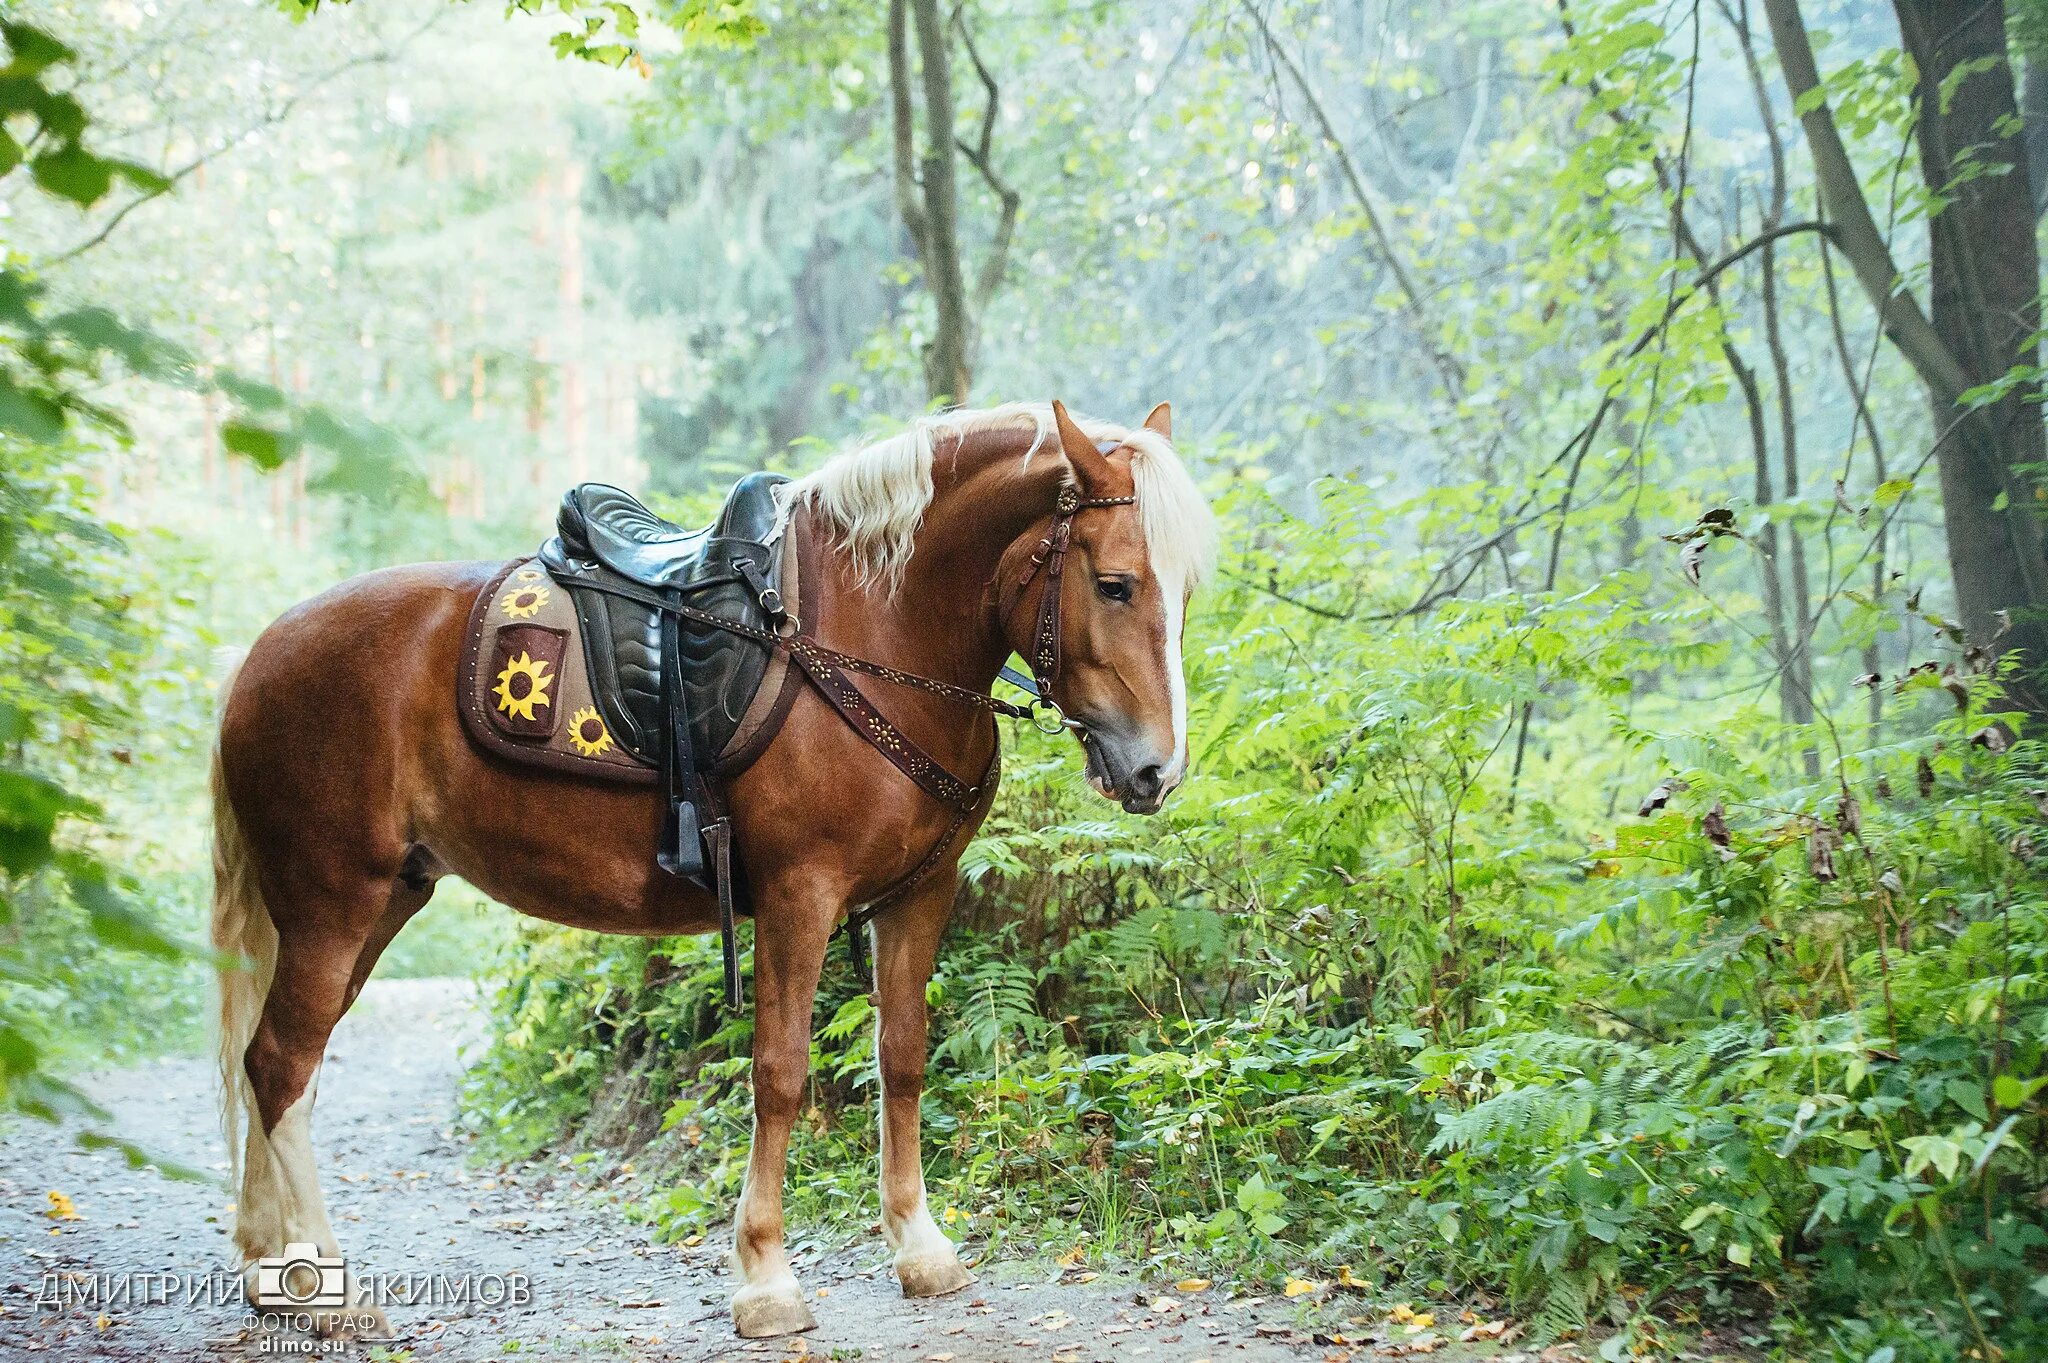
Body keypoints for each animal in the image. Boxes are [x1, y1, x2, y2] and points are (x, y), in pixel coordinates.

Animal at [211, 399, 1212, 1334]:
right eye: (1115, 584)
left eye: (1184, 590)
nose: (1157, 770)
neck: (877, 628)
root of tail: (259, 655)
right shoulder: (800, 893)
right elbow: (780, 1072)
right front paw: (765, 1276)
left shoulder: (920, 894)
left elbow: (901, 1058)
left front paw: (921, 1246)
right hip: (333, 901)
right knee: (281, 1064)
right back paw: (326, 1286)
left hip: (377, 903)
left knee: (278, 1065)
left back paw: (272, 1268)